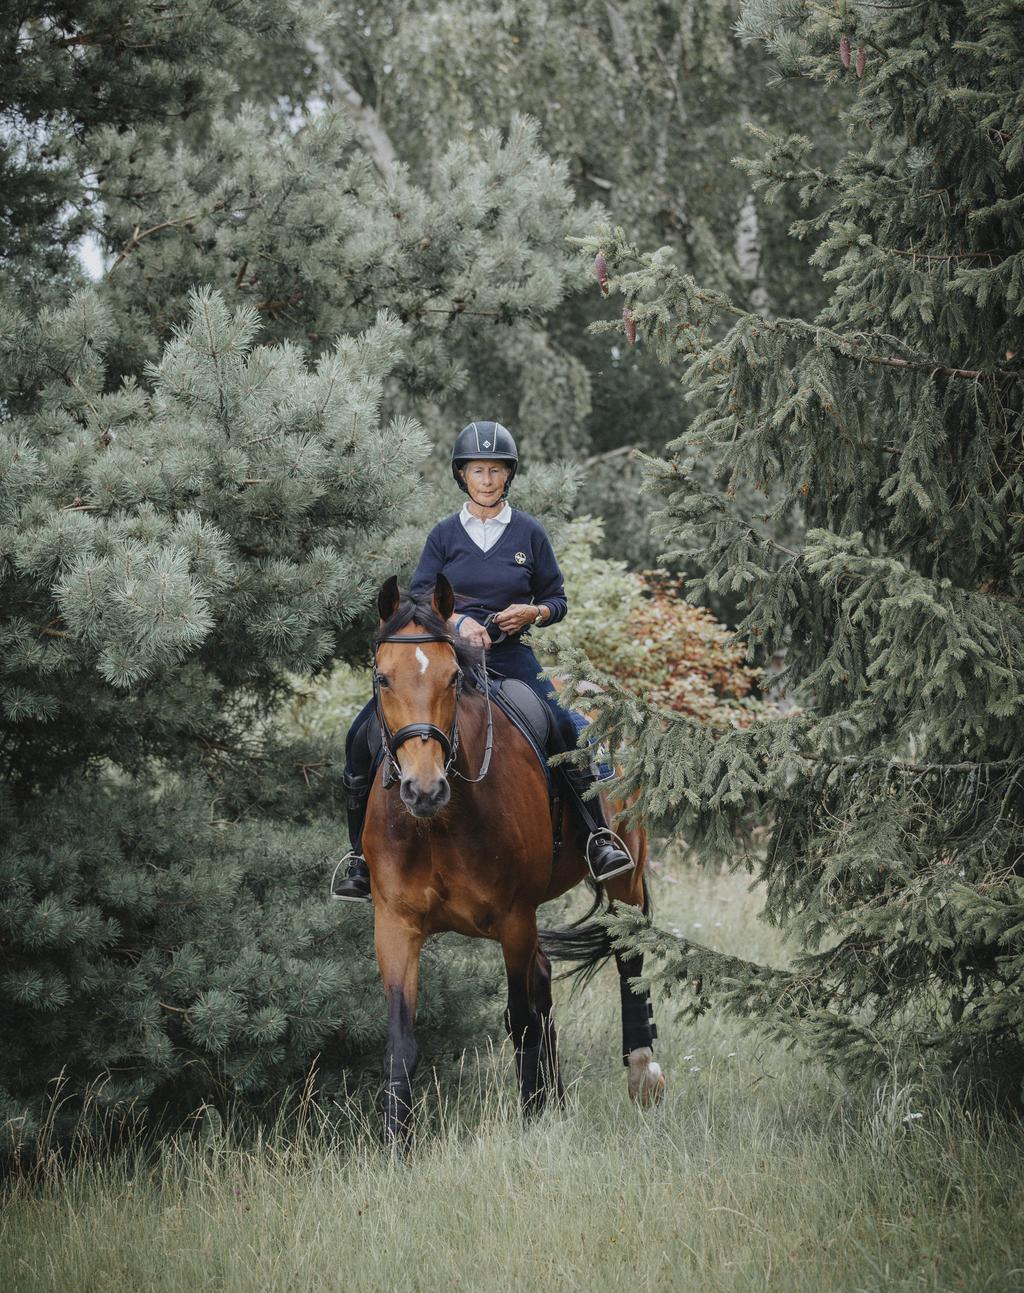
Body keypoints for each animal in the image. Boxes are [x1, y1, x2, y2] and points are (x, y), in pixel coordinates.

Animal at [359, 574, 661, 1143]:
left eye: (454, 677)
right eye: (383, 679)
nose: (424, 789)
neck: (441, 823)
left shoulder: (514, 918)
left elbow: (520, 1019)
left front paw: (530, 1115)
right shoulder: (395, 925)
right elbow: (401, 1040)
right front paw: (393, 1143)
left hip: (625, 875)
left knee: (626, 953)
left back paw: (643, 1075)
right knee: (543, 981)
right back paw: (558, 1100)